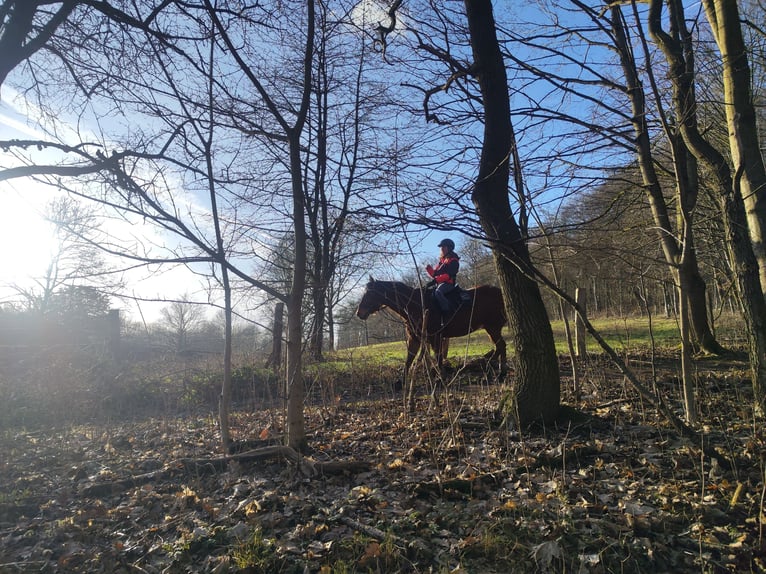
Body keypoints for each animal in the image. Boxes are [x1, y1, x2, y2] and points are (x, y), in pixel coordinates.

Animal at [356, 276, 510, 402]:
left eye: (370, 293)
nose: (359, 313)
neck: (415, 304)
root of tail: (501, 293)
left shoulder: (435, 337)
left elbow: (438, 358)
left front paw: (439, 380)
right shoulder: (414, 339)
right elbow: (409, 360)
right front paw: (400, 382)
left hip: (492, 327)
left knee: (501, 346)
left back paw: (497, 372)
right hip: (491, 328)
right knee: (500, 347)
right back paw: (495, 370)